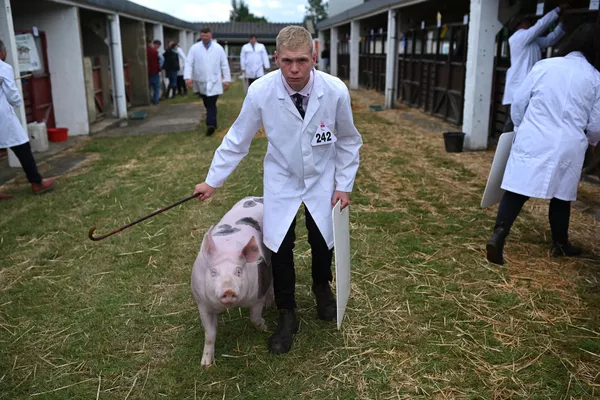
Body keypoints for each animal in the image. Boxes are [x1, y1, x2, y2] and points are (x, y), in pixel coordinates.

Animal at [191, 196, 274, 366]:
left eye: (238, 271)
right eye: (214, 272)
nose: (228, 290)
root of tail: (257, 198)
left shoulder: (257, 297)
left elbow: (254, 318)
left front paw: (264, 327)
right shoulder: (202, 305)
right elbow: (209, 335)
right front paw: (205, 364)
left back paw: (270, 305)